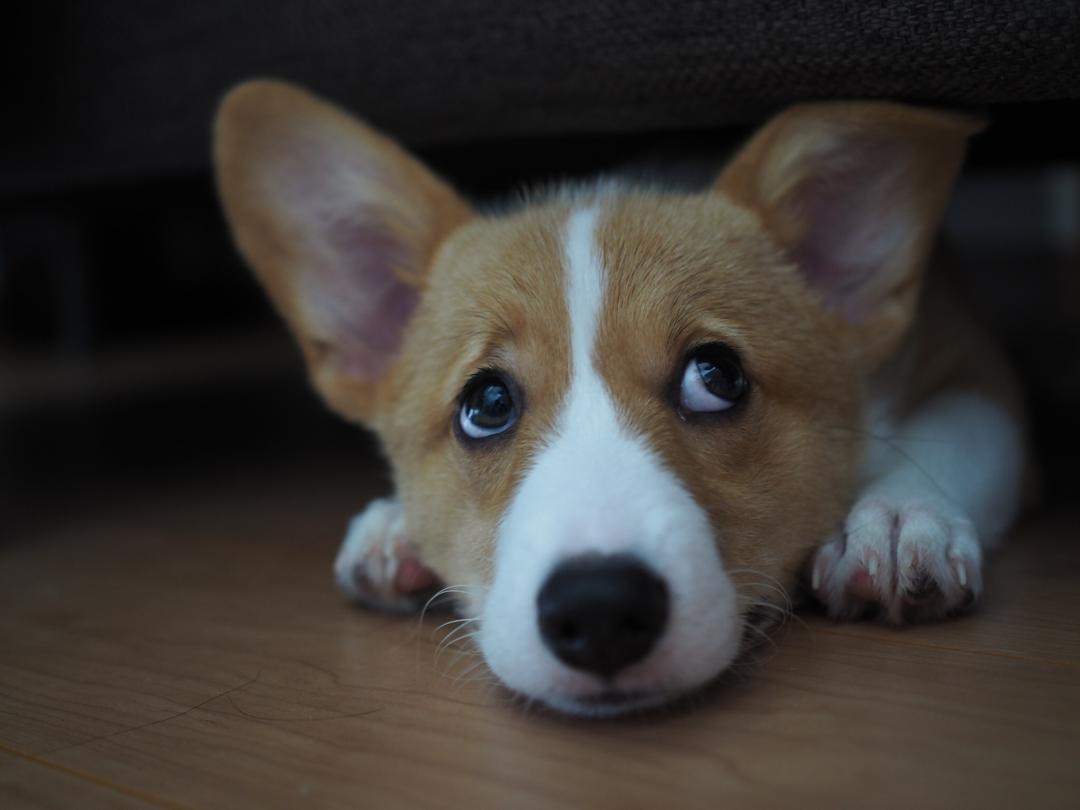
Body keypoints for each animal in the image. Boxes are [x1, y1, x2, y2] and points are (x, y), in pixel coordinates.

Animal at [210, 81, 1028, 717]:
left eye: (716, 377)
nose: (598, 609)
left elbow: (950, 438)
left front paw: (895, 520)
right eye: (487, 403)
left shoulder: (980, 375)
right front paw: (393, 526)